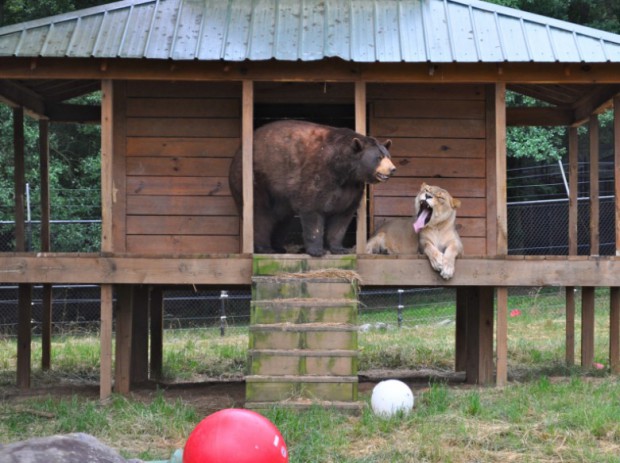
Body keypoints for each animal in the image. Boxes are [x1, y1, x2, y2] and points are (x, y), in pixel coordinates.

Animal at [230, 119, 394, 258]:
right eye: (379, 157)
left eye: (388, 156)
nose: (392, 169)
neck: (342, 170)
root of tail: (237, 153)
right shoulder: (317, 173)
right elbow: (312, 209)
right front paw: (317, 250)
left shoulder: (351, 187)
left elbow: (342, 216)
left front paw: (339, 248)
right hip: (257, 180)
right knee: (260, 215)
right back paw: (265, 248)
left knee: (282, 219)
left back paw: (278, 247)